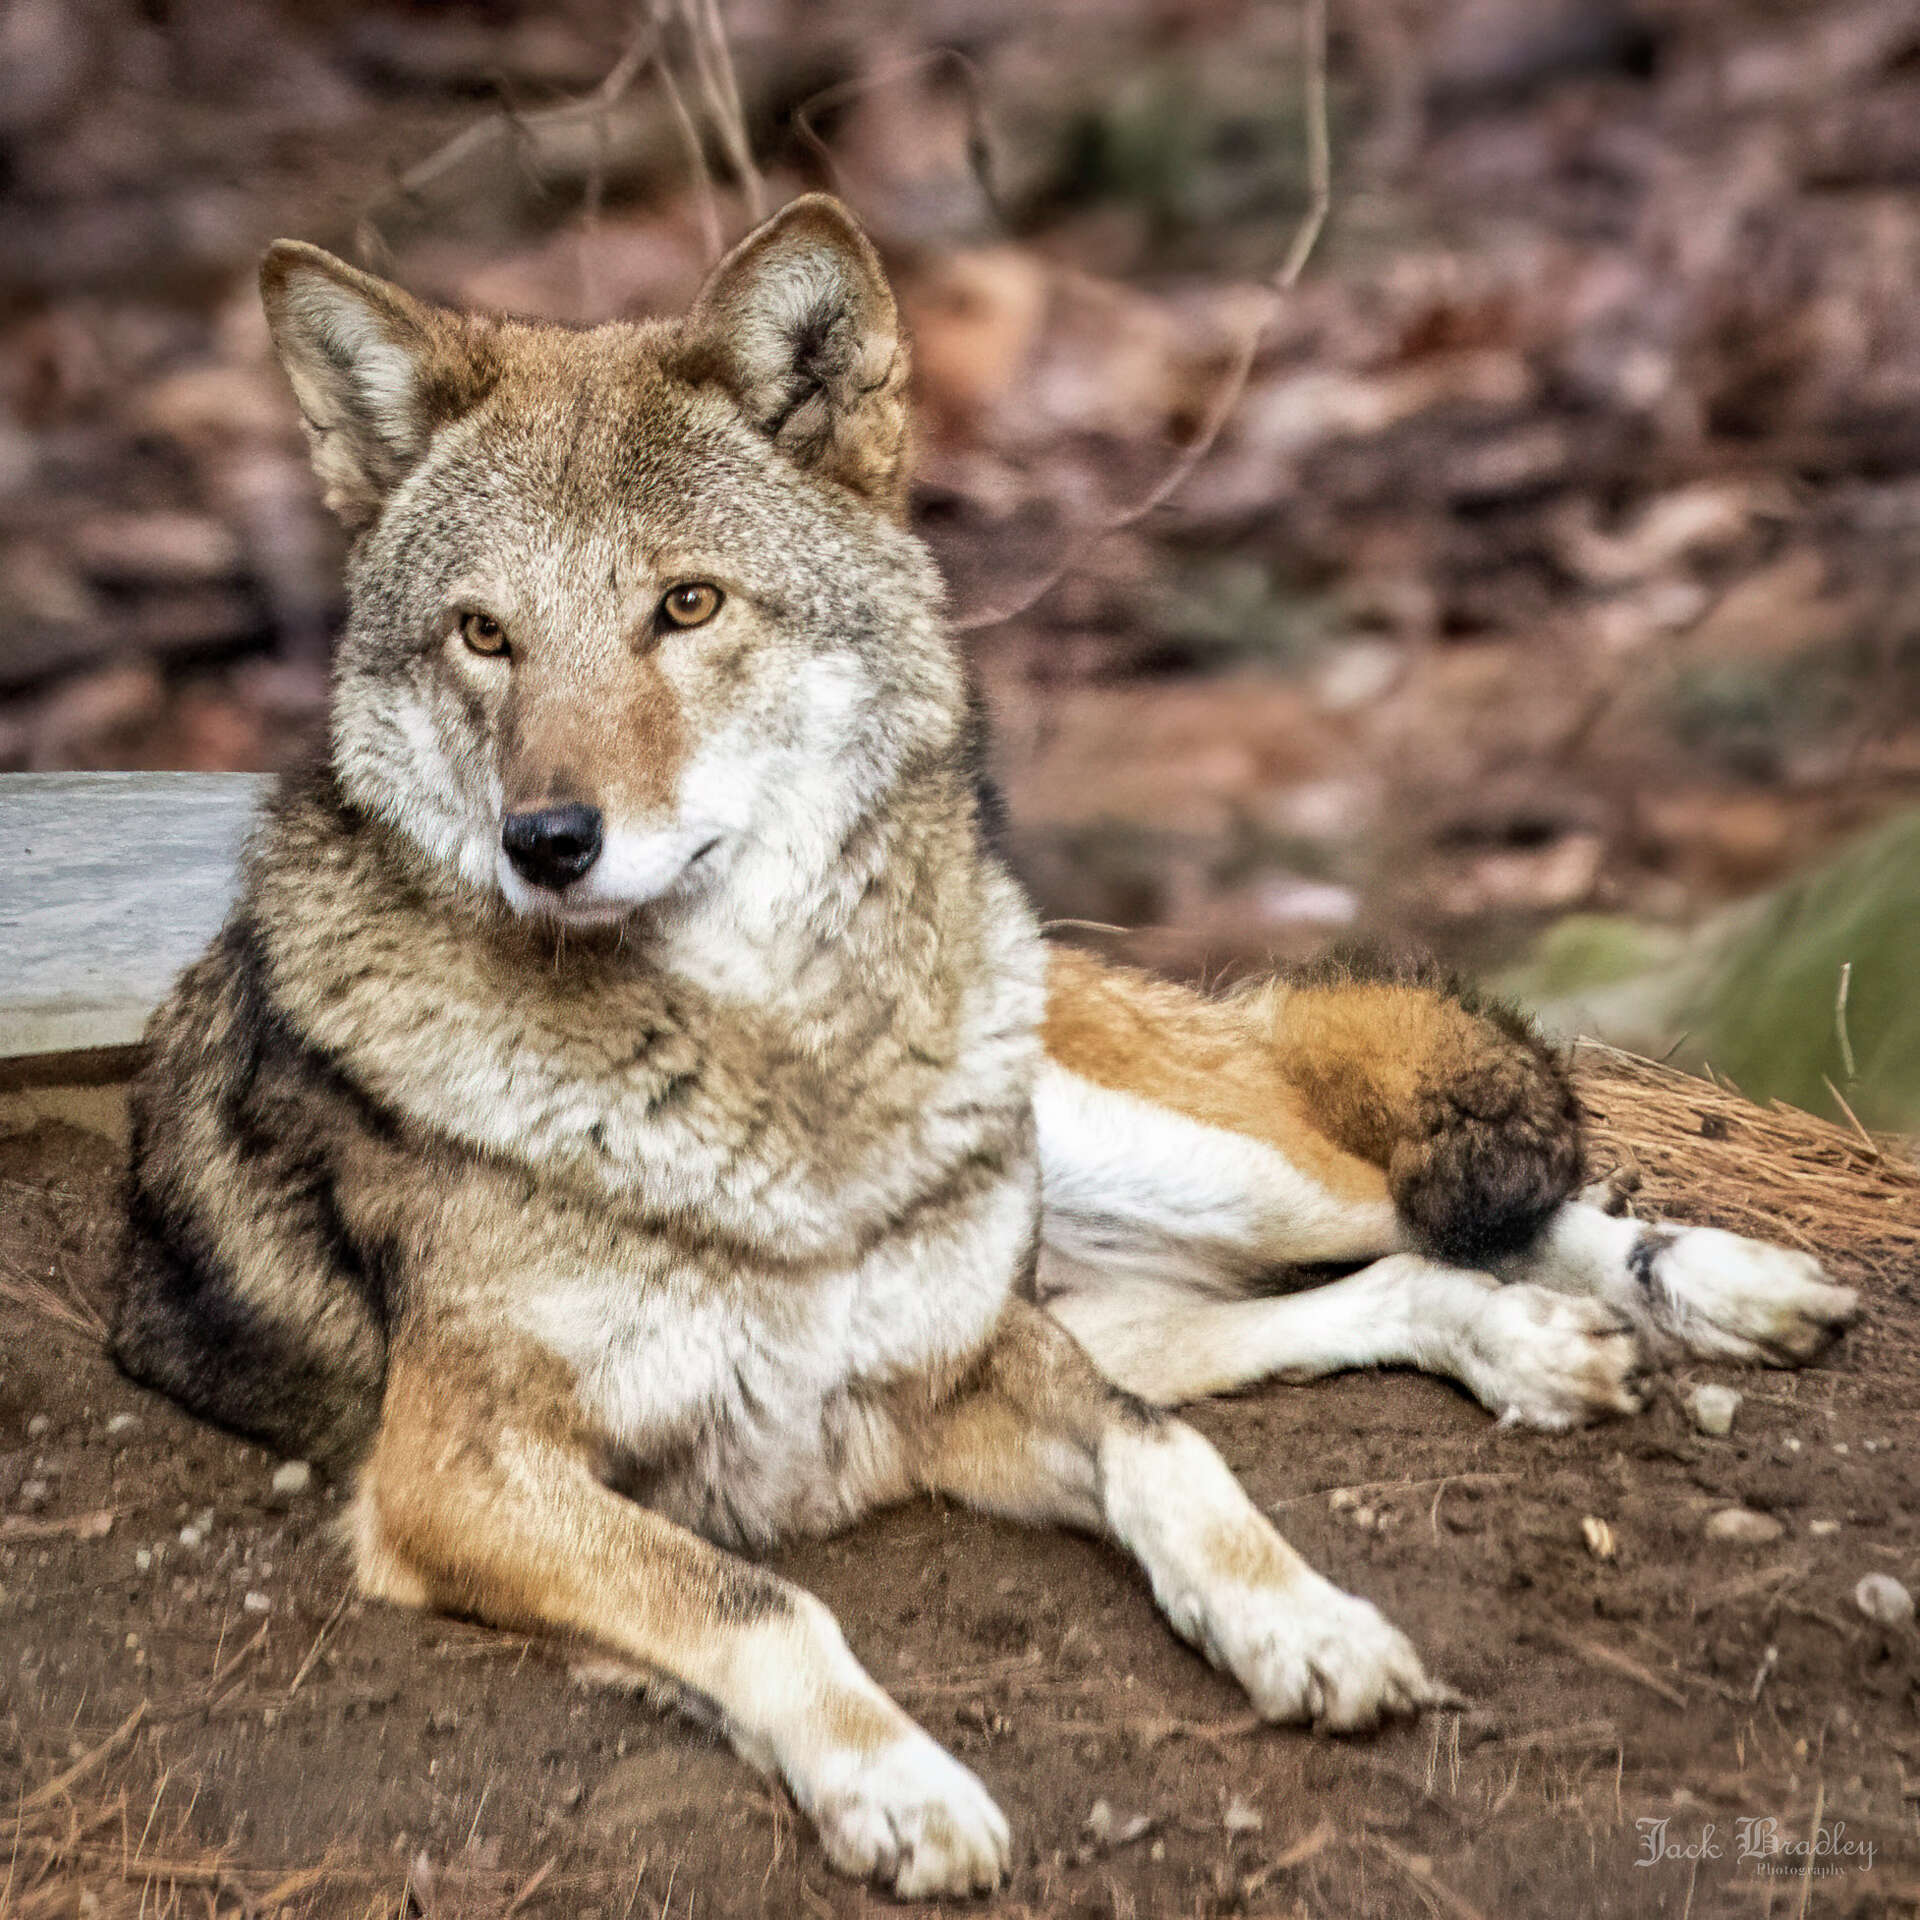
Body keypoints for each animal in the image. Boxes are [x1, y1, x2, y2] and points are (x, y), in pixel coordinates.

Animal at [112, 195, 1859, 1897]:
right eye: (484, 636)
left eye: (686, 606)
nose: (546, 843)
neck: (775, 1088)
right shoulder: (460, 1474)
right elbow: (763, 1603)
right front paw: (903, 1789)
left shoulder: (961, 1366)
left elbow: (1172, 1467)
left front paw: (1303, 1623)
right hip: (1096, 1279)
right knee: (1376, 1281)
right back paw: (1530, 1345)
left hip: (1167, 1174)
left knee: (1427, 1199)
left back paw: (1721, 1289)